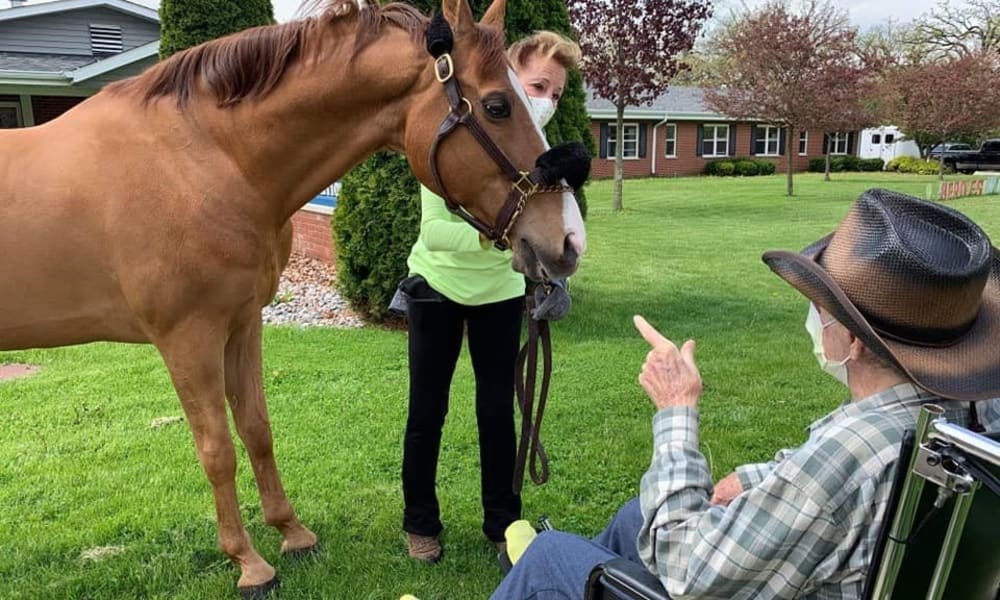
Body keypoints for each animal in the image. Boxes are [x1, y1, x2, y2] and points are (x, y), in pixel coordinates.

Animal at [0, 0, 584, 592]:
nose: (568, 240)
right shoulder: (188, 339)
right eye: (496, 106)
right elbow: (217, 451)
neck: (201, 161)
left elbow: (257, 430)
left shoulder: (241, 324)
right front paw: (249, 562)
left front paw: (292, 533)